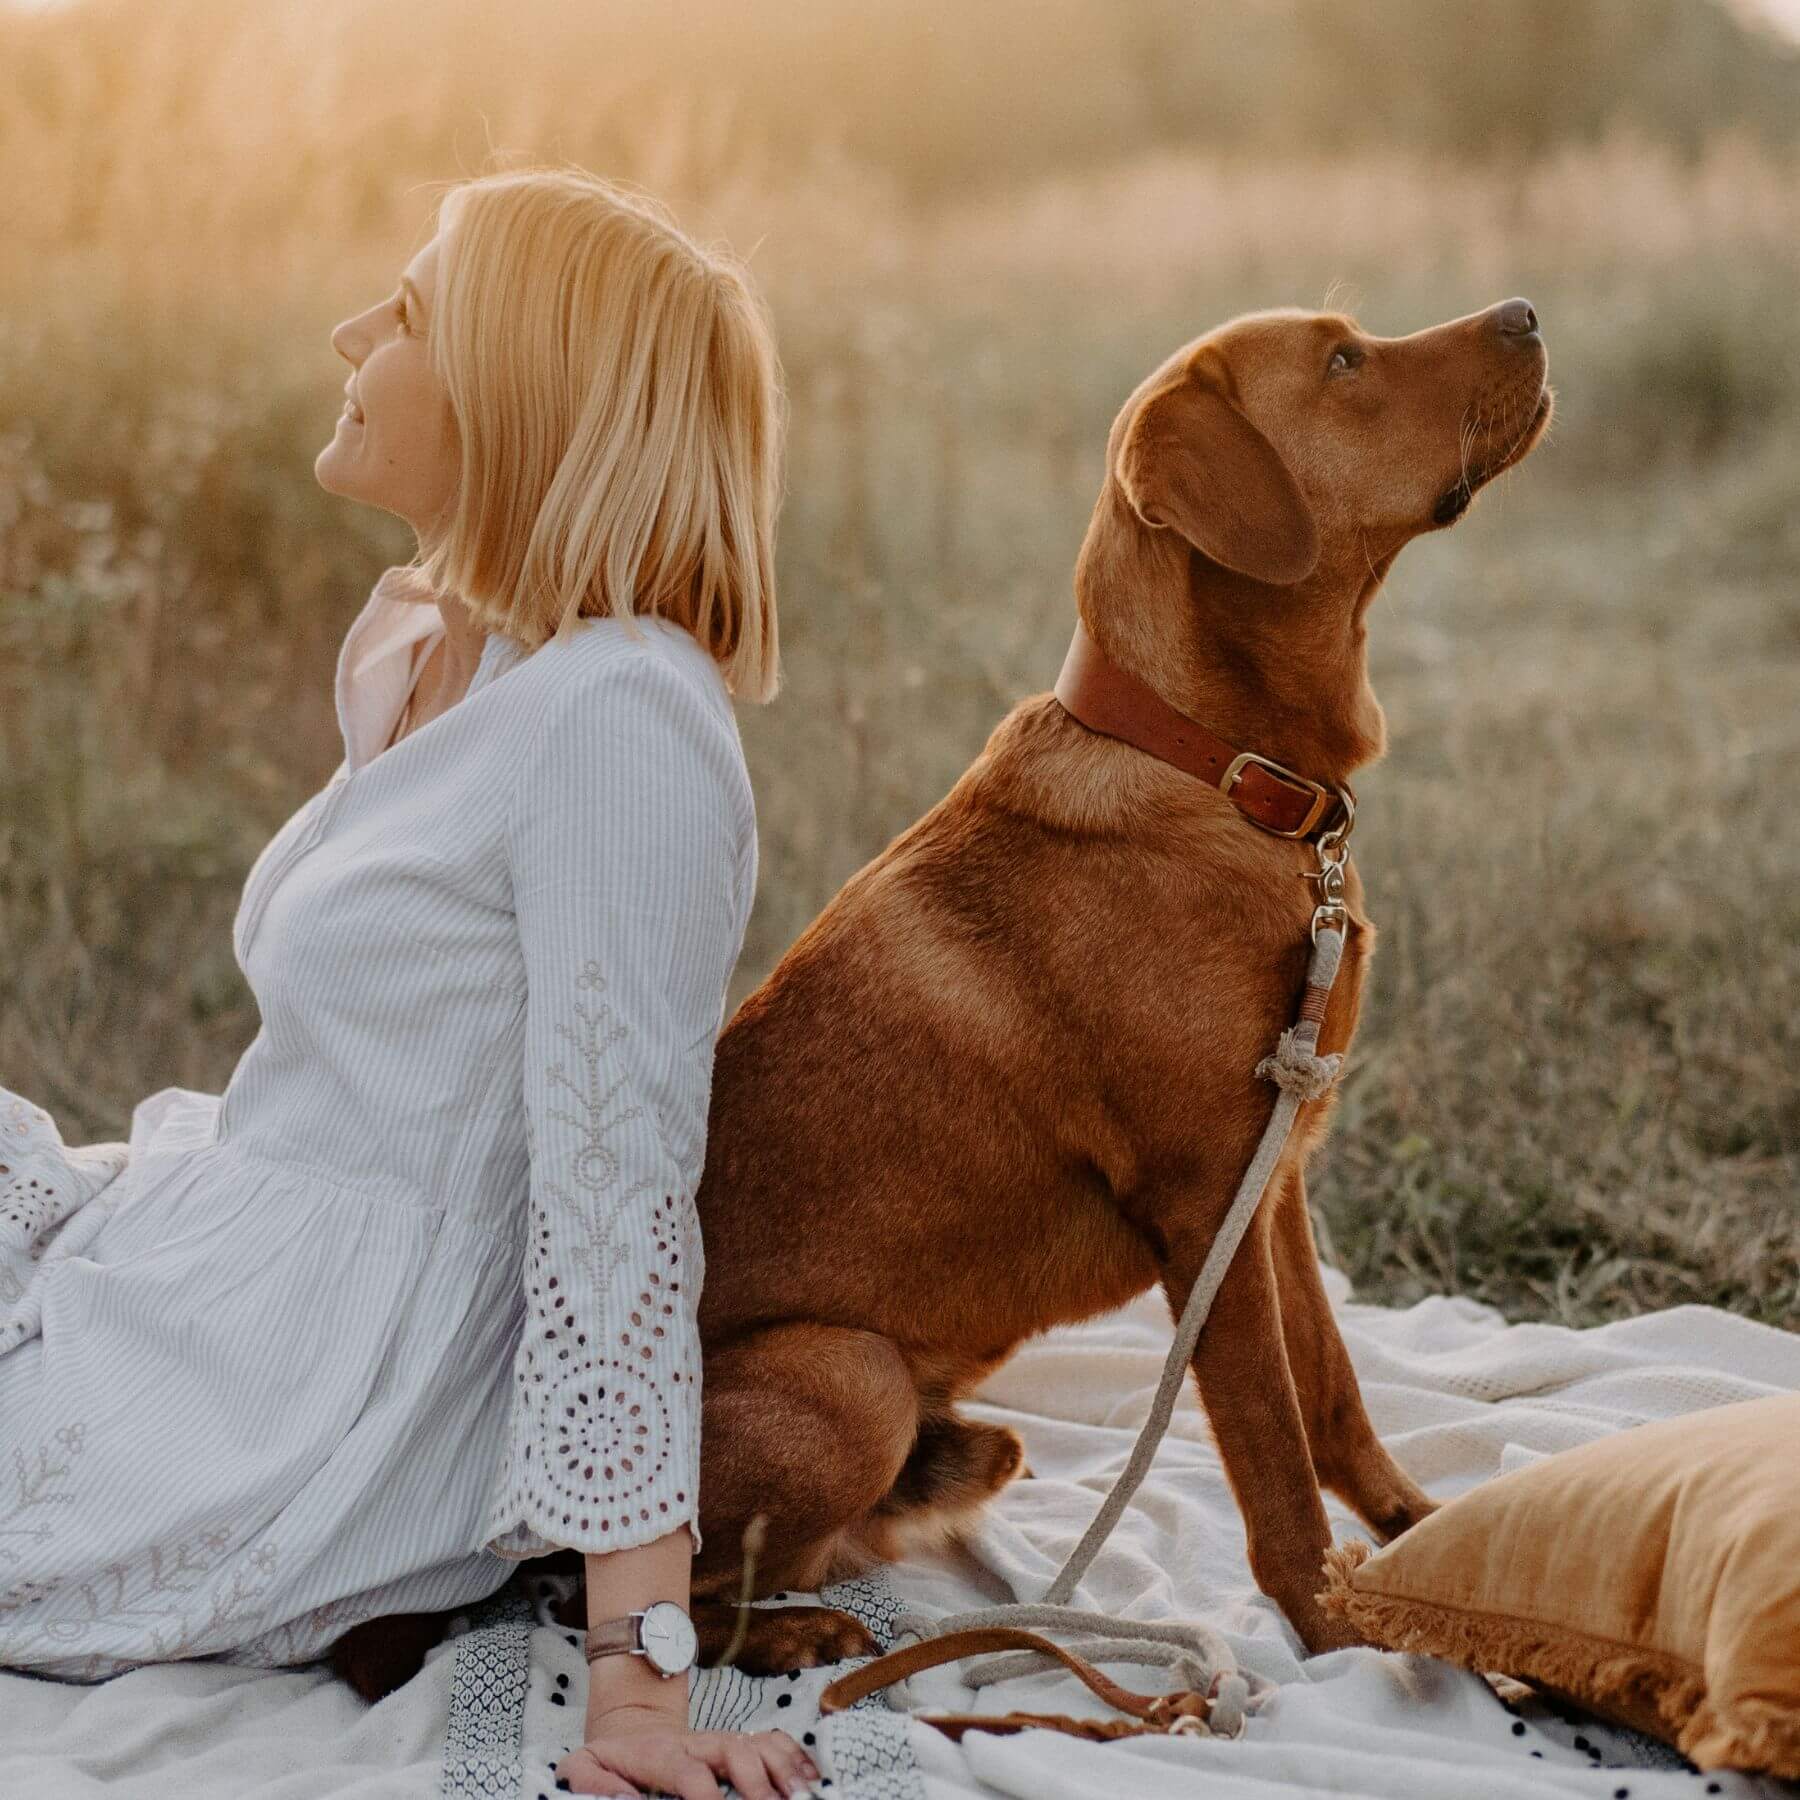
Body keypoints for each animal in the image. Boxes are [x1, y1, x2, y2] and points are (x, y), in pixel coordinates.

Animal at [334, 298, 1548, 1699]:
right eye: (1345, 361)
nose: (1525, 314)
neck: (1213, 771)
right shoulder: (1207, 1209)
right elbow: (1271, 1454)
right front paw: (1340, 1630)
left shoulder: (1273, 1183)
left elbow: (1336, 1394)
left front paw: (1429, 1553)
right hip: (847, 1375)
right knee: (620, 1594)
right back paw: (800, 1636)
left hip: (966, 1433)